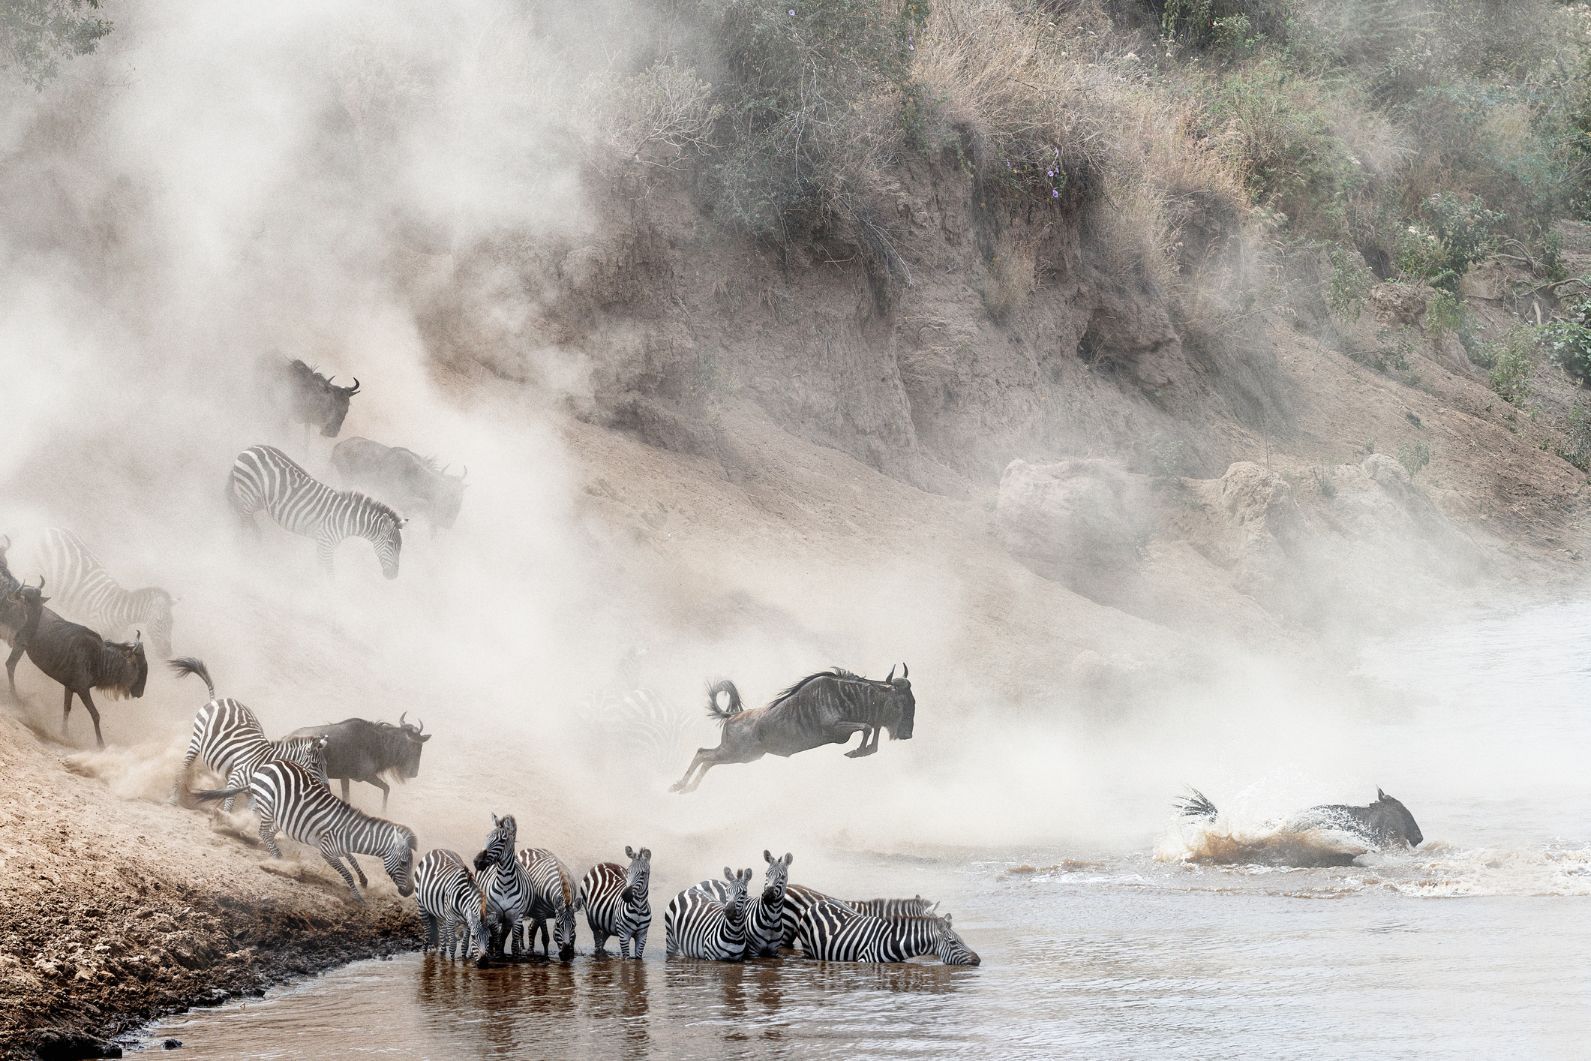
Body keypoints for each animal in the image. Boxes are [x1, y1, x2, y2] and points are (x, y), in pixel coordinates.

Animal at [194, 760, 416, 903]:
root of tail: (264, 767)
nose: (410, 892)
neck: (351, 833)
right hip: (268, 806)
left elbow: (353, 859)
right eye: (404, 863)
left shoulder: (340, 845)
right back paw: (280, 861)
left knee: (269, 833)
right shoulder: (327, 851)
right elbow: (346, 872)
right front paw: (358, 896)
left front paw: (364, 880)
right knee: (263, 832)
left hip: (282, 816)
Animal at [227, 442, 407, 582]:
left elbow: (321, 569)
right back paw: (243, 546)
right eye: (391, 544)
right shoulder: (326, 543)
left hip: (259, 500)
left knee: (243, 512)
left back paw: (255, 539)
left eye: (399, 547)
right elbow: (330, 574)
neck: (347, 520)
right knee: (243, 517)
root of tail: (253, 447)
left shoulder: (323, 544)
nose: (393, 576)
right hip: (251, 493)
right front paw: (325, 595)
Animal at [467, 814, 531, 960]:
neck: (505, 883)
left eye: (502, 840)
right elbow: (495, 939)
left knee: (504, 937)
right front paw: (495, 956)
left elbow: (513, 944)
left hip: (508, 919)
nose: (477, 862)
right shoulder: (494, 915)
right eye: (487, 836)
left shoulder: (517, 917)